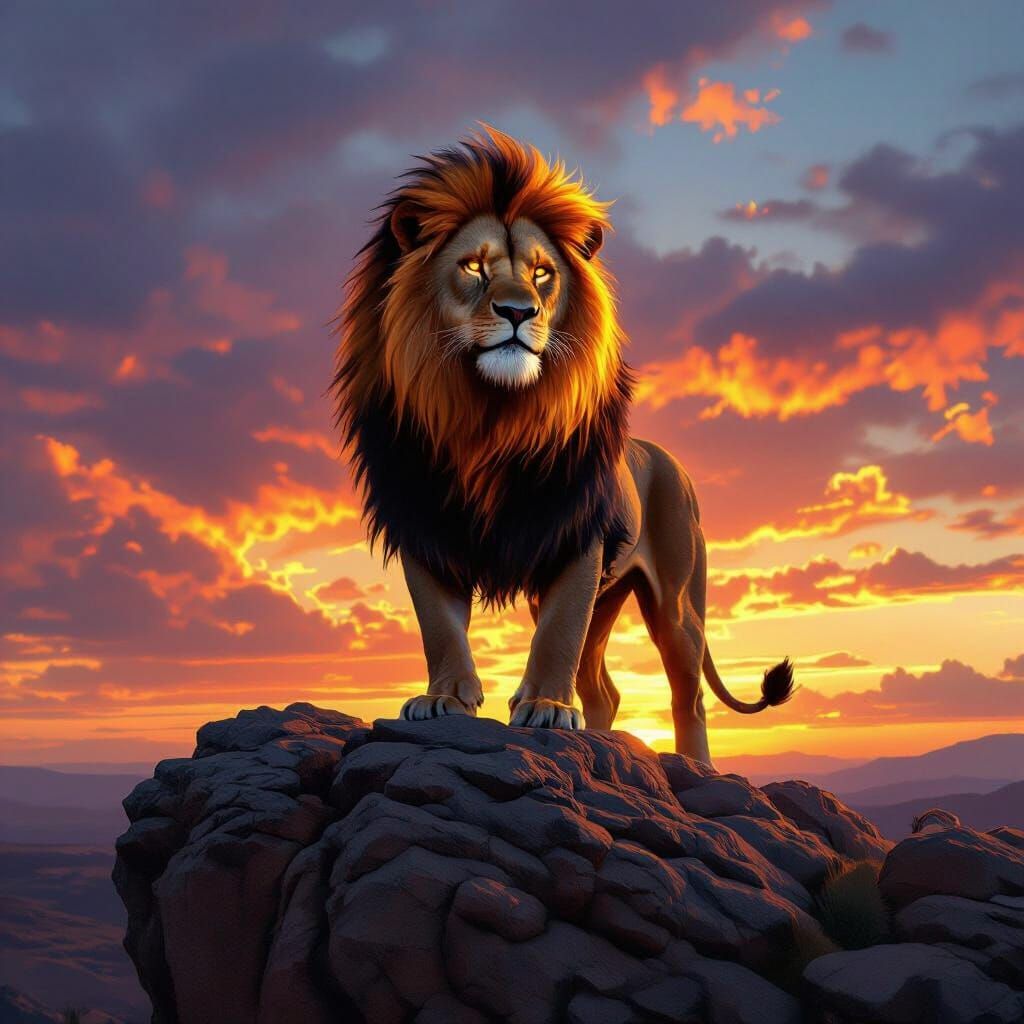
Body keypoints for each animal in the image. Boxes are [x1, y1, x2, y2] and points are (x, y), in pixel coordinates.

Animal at [331, 126, 793, 764]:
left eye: (542, 273)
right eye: (473, 267)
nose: (518, 311)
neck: (487, 418)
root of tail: (672, 462)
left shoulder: (576, 536)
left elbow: (556, 635)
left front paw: (547, 707)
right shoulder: (425, 527)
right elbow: (439, 626)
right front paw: (443, 698)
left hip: (676, 601)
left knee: (687, 692)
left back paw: (695, 765)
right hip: (610, 597)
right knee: (605, 686)